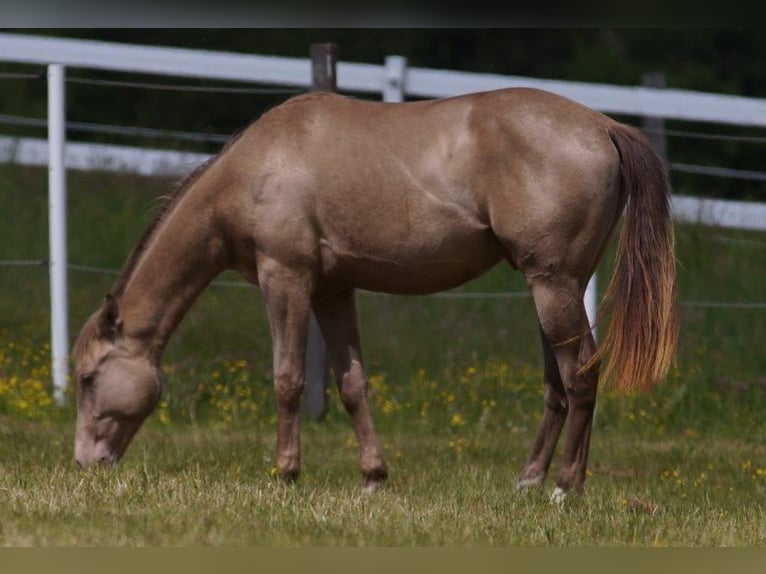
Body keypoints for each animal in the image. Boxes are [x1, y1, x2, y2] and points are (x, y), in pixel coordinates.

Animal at [72, 87, 677, 500]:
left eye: (86, 378)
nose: (84, 465)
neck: (258, 166)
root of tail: (604, 126)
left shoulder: (285, 278)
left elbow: (288, 378)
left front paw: (285, 473)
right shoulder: (333, 291)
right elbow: (351, 384)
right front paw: (373, 477)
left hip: (553, 287)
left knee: (580, 378)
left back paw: (565, 488)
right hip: (554, 288)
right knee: (557, 383)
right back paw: (529, 481)